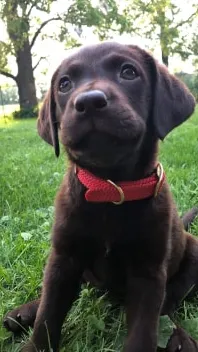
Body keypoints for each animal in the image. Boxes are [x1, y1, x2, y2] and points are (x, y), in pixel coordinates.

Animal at [3, 42, 198, 350]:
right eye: (64, 84)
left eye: (129, 72)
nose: (90, 102)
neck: (109, 188)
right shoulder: (64, 257)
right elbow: (48, 312)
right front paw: (35, 340)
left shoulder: (148, 272)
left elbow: (144, 330)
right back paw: (25, 311)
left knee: (169, 305)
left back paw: (179, 337)